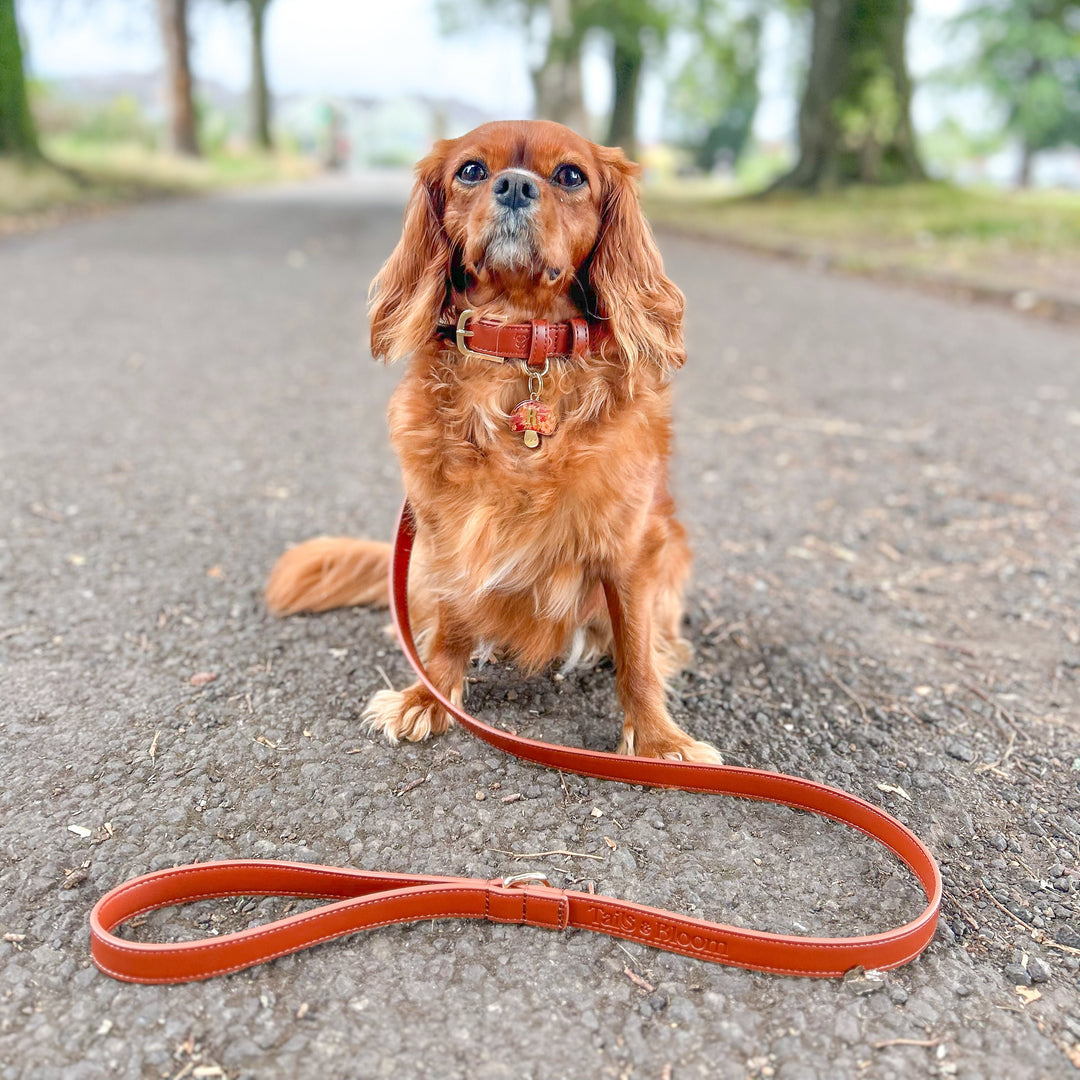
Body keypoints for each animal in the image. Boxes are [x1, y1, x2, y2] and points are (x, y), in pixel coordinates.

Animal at [263, 118, 717, 764]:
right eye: (472, 171)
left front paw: (657, 741)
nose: (515, 185)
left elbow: (635, 649)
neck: (520, 339)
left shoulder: (629, 547)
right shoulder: (449, 530)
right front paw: (430, 695)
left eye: (570, 175)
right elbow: (453, 617)